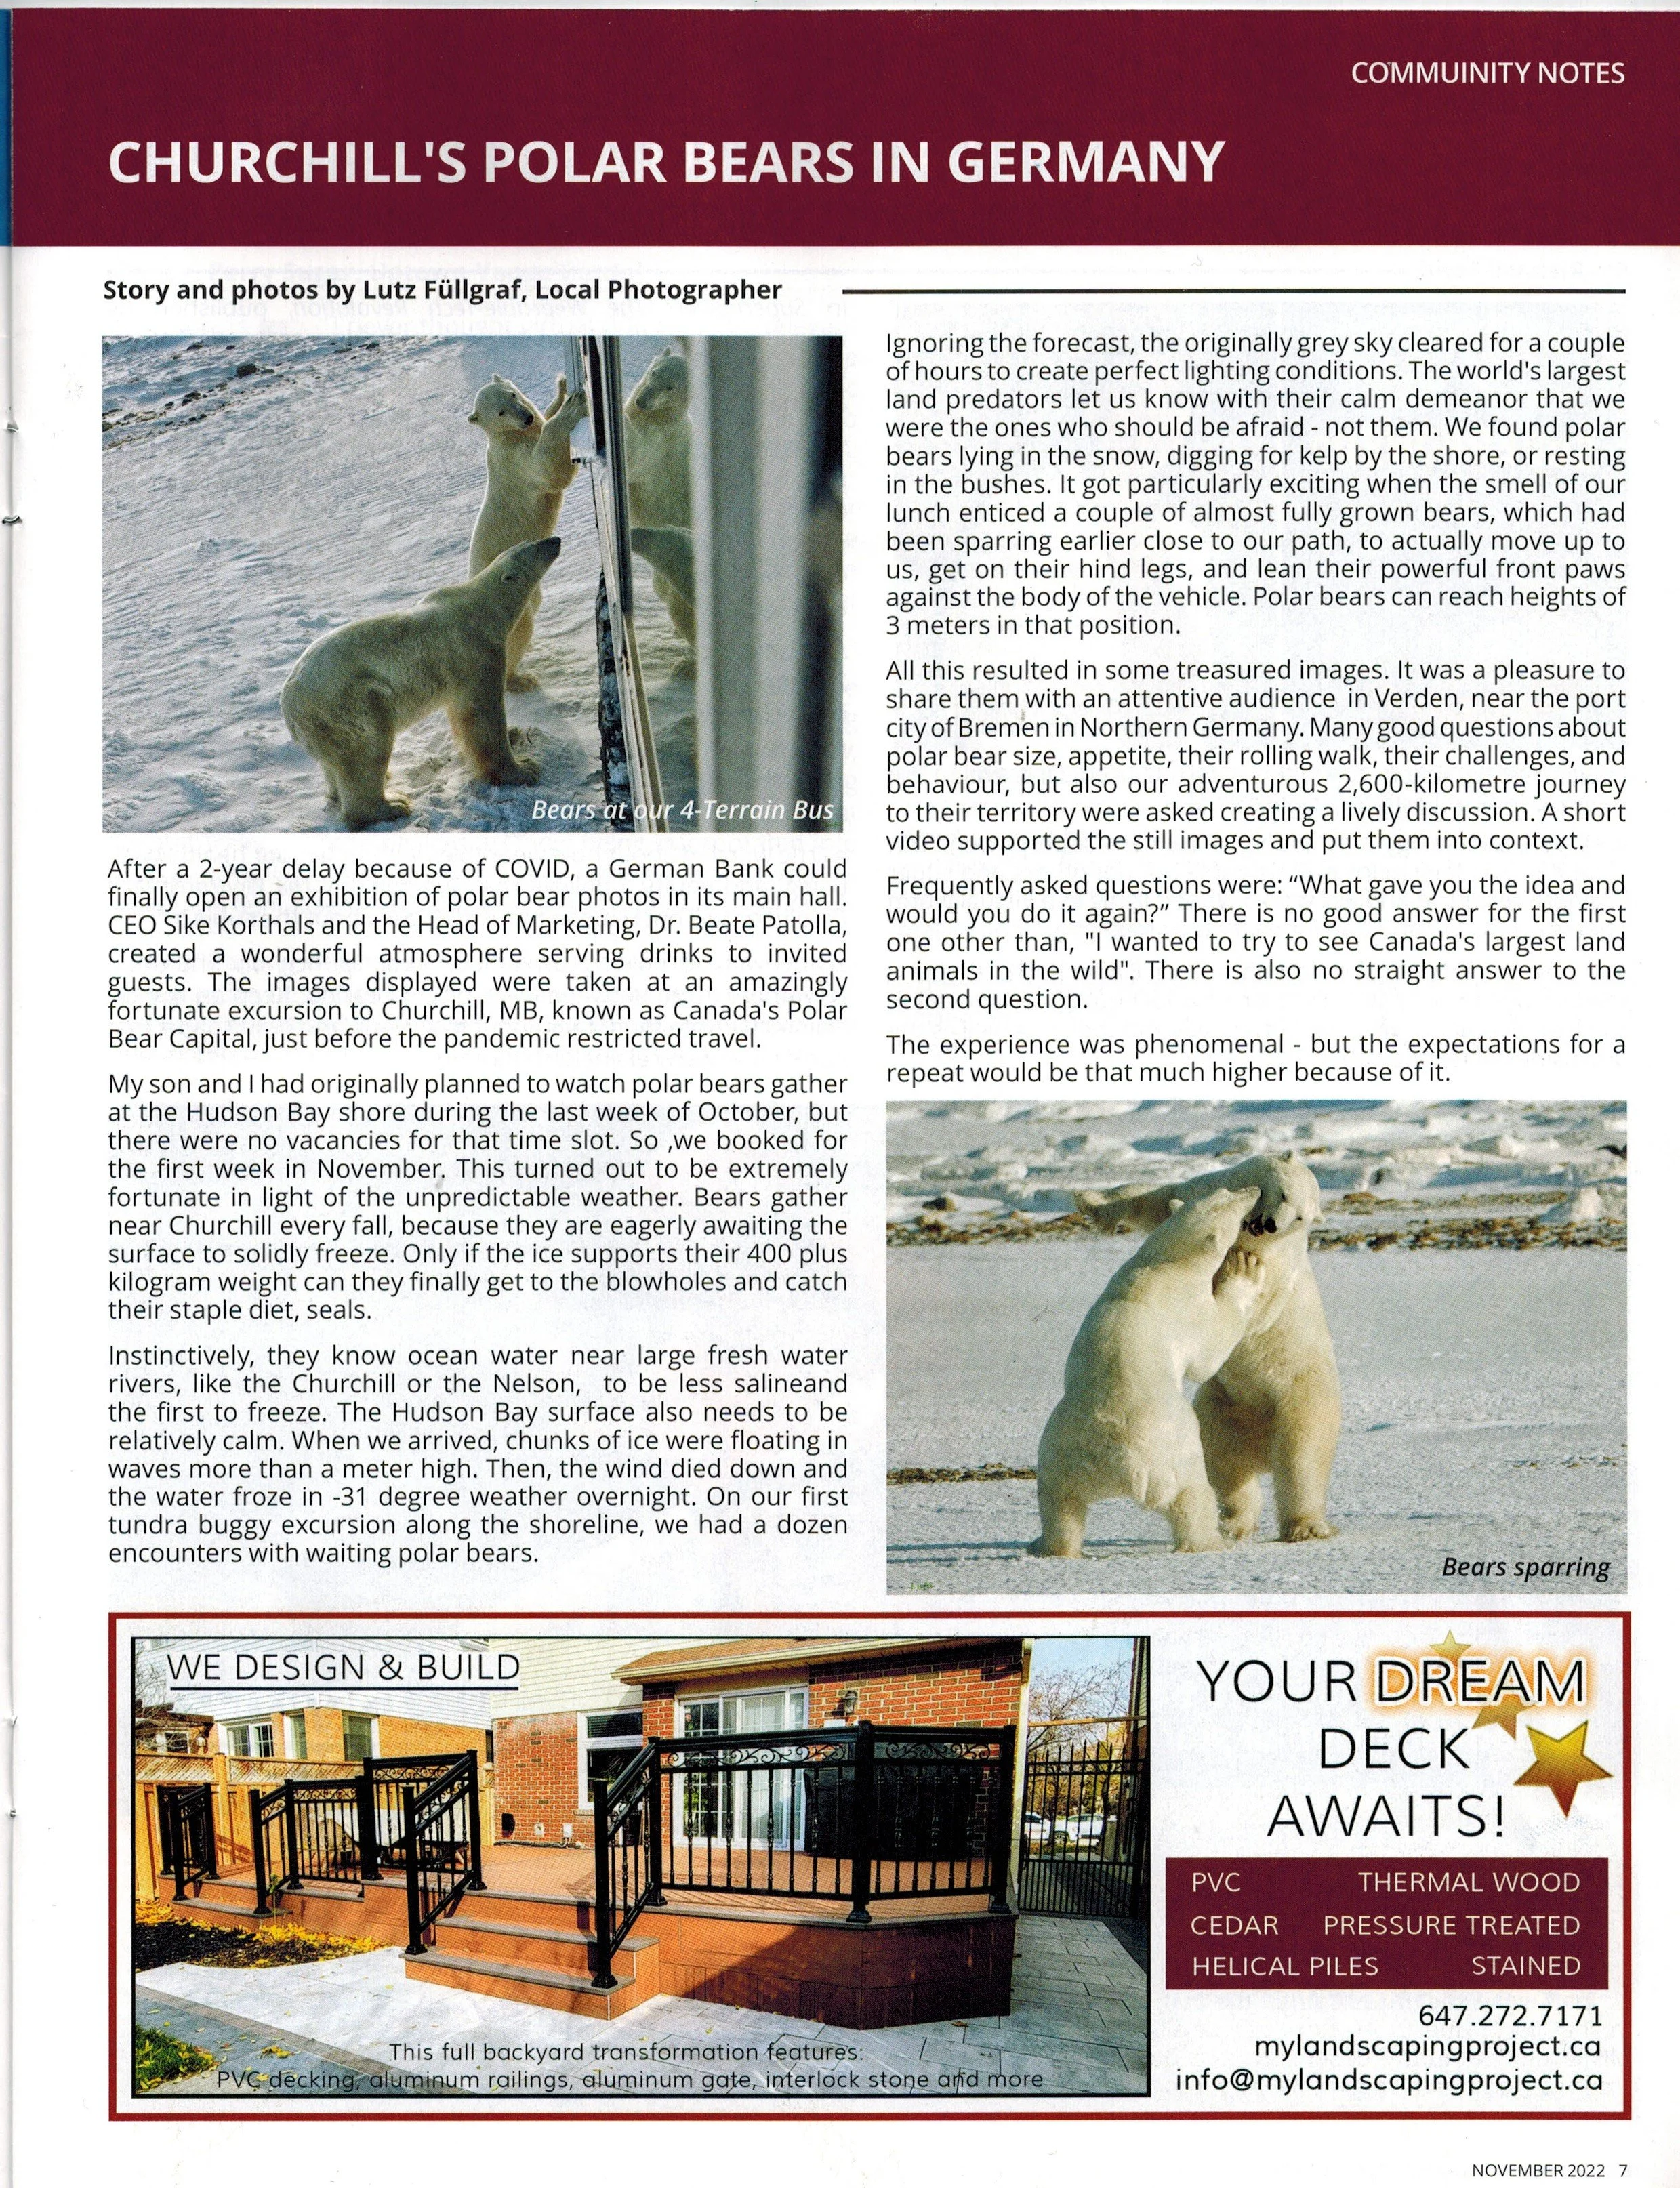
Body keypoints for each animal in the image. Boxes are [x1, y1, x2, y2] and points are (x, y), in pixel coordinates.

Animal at [281, 536, 563, 830]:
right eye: (534, 547)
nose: (555, 540)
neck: (481, 606)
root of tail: (290, 708)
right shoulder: (475, 654)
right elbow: (482, 716)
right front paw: (524, 769)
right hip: (348, 704)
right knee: (366, 751)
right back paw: (391, 806)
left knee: (334, 763)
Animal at [467, 372, 590, 689]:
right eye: (500, 412)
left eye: (512, 395)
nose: (526, 417)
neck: (510, 436)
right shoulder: (516, 463)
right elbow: (549, 466)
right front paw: (573, 406)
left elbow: (546, 422)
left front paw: (559, 391)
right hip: (509, 601)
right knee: (518, 634)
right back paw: (522, 679)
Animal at [1033, 1185, 1267, 1557]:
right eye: (1229, 1202)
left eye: (1222, 1190)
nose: (1254, 1190)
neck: (1163, 1264)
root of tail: (1120, 1467)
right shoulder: (1187, 1308)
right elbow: (1210, 1351)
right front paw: (1244, 1270)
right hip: (1173, 1452)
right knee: (1191, 1494)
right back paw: (1210, 1541)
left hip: (1059, 1456)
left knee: (1061, 1504)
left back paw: (1049, 1546)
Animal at [1075, 1151, 1342, 1544]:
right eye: (1283, 1194)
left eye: (1299, 1218)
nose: (1271, 1225)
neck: (1248, 1235)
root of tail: (1263, 1444)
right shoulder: (1204, 1191)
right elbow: (1155, 1201)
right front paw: (1088, 1200)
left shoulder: (1277, 1265)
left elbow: (1255, 1307)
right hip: (1224, 1406)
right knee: (1224, 1460)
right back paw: (1234, 1522)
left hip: (1304, 1397)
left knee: (1301, 1460)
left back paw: (1305, 1526)